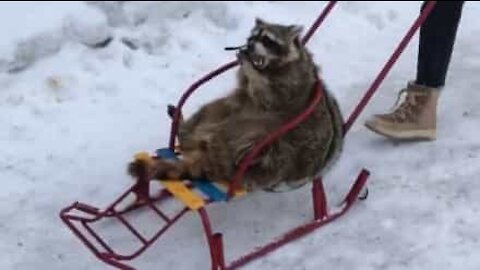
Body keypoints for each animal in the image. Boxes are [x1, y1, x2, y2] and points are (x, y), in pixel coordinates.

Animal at [127, 18, 344, 192]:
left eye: (267, 40)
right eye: (252, 37)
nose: (249, 44)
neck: (267, 71)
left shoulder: (293, 88)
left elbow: (273, 97)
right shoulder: (245, 91)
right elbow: (244, 88)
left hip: (275, 147)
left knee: (270, 148)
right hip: (222, 114)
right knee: (212, 112)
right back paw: (184, 130)